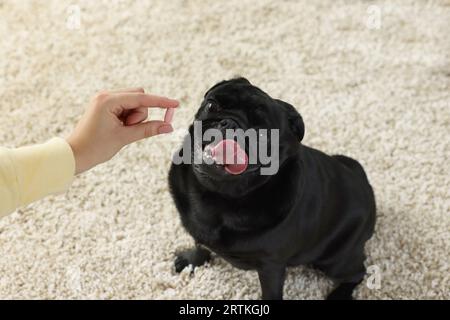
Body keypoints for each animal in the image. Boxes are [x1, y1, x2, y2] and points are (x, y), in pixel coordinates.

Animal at [169, 77, 376, 300]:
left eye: (262, 135)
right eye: (211, 105)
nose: (230, 124)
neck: (216, 192)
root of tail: (366, 187)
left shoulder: (271, 265)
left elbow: (271, 292)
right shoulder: (197, 231)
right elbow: (199, 244)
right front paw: (192, 261)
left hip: (335, 261)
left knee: (358, 274)